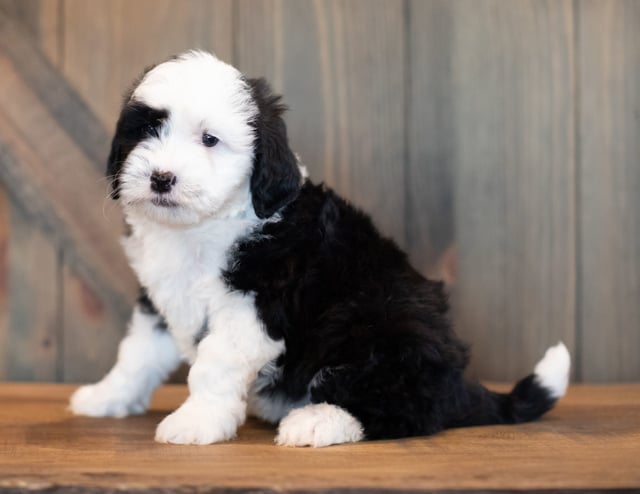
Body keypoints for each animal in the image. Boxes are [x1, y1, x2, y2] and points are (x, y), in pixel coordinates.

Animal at [70, 51, 568, 448]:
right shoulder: (161, 297)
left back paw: (318, 422)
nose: (161, 178)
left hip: (379, 323)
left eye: (209, 140)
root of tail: (457, 386)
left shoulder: (256, 307)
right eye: (147, 130)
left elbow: (213, 362)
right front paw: (107, 396)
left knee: (403, 410)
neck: (200, 229)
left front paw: (196, 422)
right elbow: (137, 354)